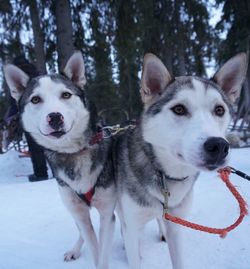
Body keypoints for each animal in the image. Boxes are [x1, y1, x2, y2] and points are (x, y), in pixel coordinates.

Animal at [3, 51, 116, 268]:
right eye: (35, 99)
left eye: (66, 95)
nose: (55, 117)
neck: (73, 153)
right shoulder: (79, 212)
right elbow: (93, 246)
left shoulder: (107, 212)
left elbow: (104, 252)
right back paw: (75, 249)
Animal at [114, 52, 247, 268]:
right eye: (179, 109)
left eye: (219, 110)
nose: (219, 146)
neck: (167, 175)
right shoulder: (132, 226)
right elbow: (131, 241)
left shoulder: (176, 226)